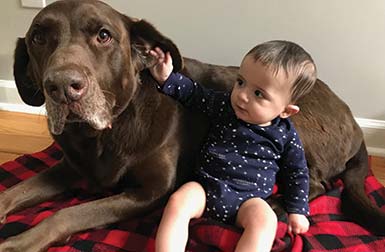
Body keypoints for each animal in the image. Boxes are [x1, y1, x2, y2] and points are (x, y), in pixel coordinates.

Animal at [0, 0, 382, 250]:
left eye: (104, 35)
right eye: (38, 38)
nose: (62, 86)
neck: (101, 135)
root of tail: (353, 120)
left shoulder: (148, 192)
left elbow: (64, 216)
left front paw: (18, 243)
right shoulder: (69, 168)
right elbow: (13, 192)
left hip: (292, 126)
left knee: (314, 183)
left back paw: (278, 207)